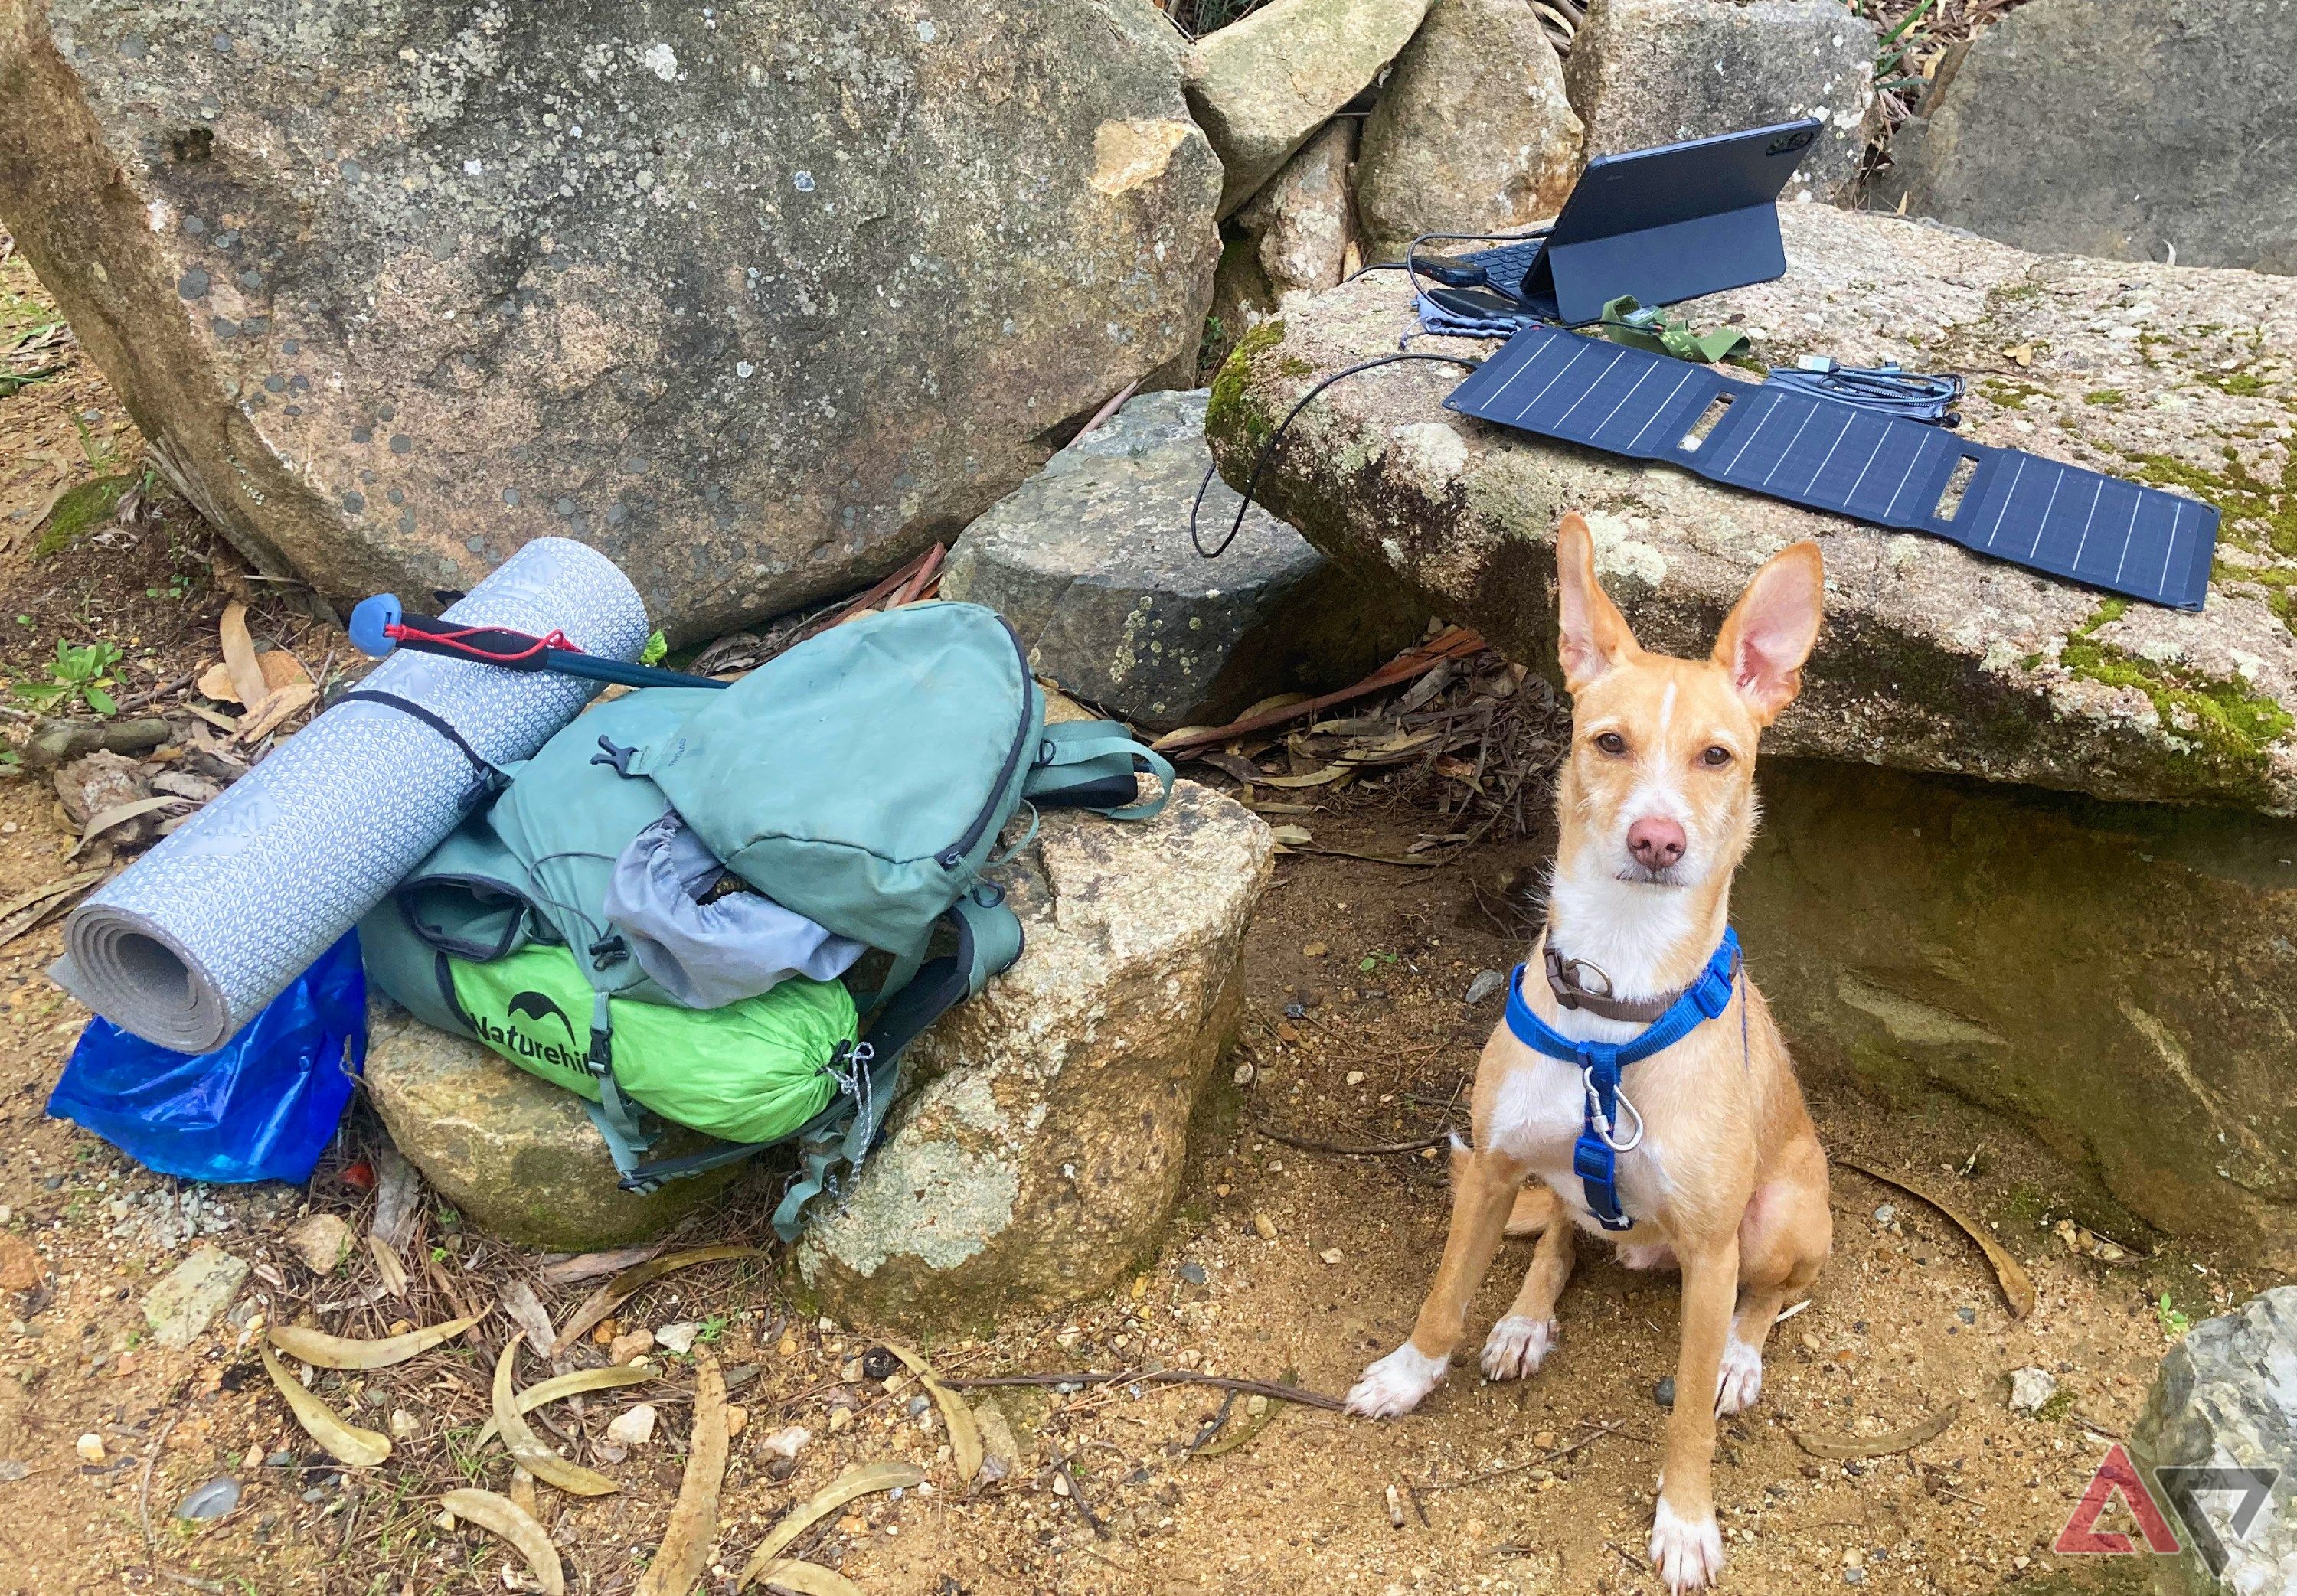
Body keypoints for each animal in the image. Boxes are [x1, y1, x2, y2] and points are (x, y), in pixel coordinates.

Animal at [1341, 519, 1828, 1589]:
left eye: (1718, 756)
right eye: (1609, 742)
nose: (1657, 840)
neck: (1617, 992)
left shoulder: (1713, 1248)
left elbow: (1687, 1417)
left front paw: (1685, 1520)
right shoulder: (1490, 1171)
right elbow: (1445, 1298)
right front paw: (1409, 1375)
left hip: (1783, 1219)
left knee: (1770, 1296)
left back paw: (1741, 1358)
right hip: (1542, 1177)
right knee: (1563, 1236)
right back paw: (1526, 1319)